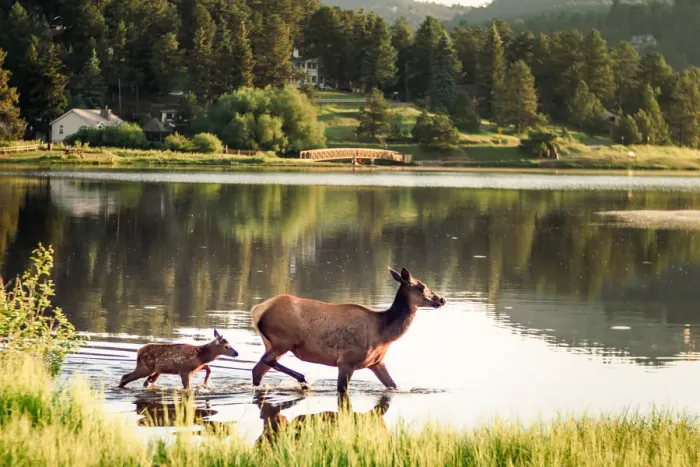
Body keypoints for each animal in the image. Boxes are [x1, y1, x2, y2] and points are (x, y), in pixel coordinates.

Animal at [251, 267, 445, 393]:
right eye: (421, 286)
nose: (441, 299)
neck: (383, 333)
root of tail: (257, 309)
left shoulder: (377, 363)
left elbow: (393, 385)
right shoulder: (346, 361)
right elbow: (342, 391)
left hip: (274, 344)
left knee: (257, 370)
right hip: (283, 341)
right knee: (265, 360)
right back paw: (303, 379)